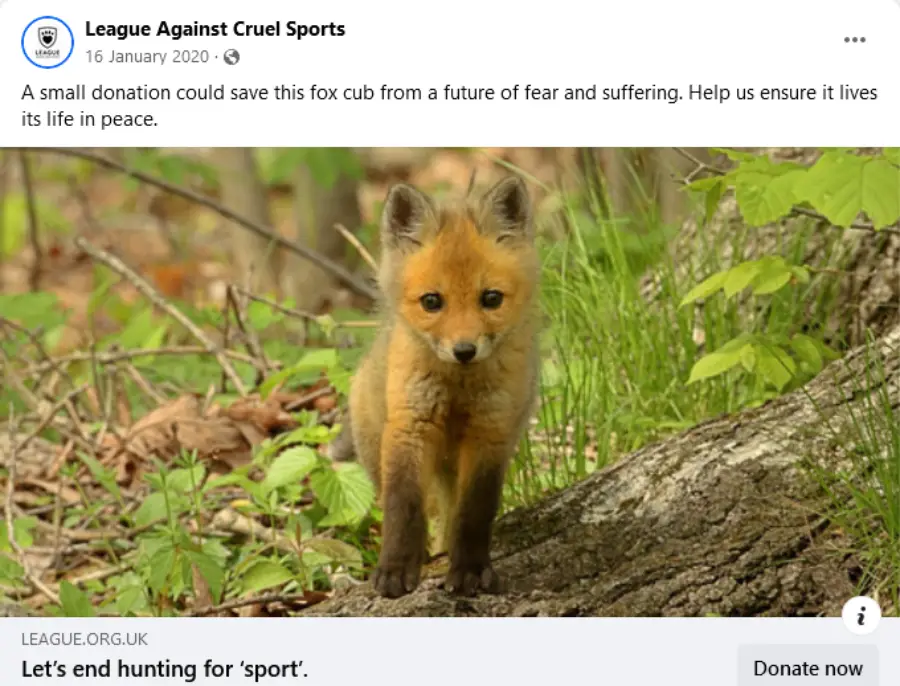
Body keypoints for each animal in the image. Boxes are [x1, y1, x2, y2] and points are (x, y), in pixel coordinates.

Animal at [329, 174, 541, 598]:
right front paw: (396, 569)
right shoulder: (411, 425)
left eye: (491, 298)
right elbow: (404, 507)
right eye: (432, 301)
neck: (458, 387)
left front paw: (470, 569)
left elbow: (474, 512)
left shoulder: (490, 433)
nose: (464, 350)